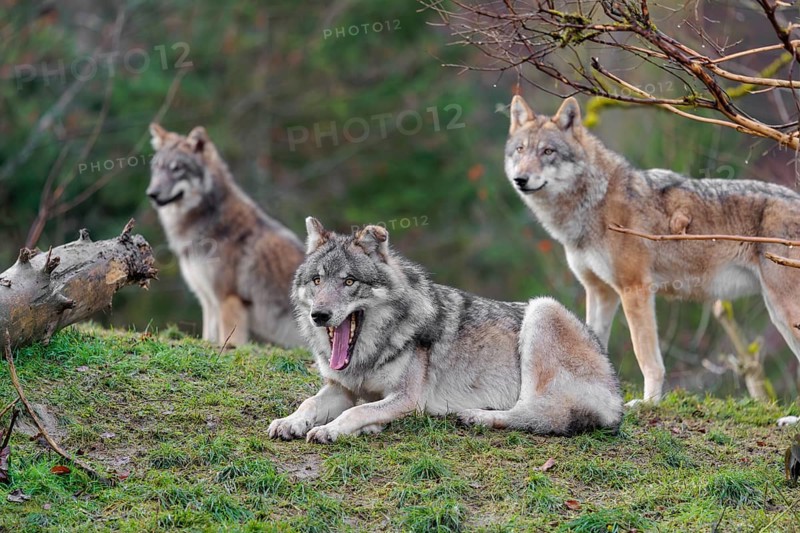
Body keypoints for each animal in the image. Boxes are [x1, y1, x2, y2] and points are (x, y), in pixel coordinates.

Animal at [147, 124, 304, 348]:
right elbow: (209, 338)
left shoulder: (227, 300)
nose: (152, 193)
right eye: (157, 168)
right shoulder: (209, 302)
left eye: (177, 169)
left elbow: (229, 342)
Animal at [267, 217, 623, 443]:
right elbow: (309, 404)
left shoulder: (407, 398)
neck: (366, 357)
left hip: (542, 309)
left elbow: (358, 411)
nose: (319, 315)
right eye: (317, 280)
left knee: (539, 415)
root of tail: (616, 393)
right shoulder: (341, 388)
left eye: (349, 281)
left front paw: (335, 429)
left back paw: (476, 416)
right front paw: (290, 422)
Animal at [504, 94, 800, 418]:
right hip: (778, 314)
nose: (520, 179)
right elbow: (590, 342)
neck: (595, 202)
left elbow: (646, 357)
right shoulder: (600, 292)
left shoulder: (635, 289)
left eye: (548, 151)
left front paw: (649, 403)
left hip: (784, 311)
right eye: (520, 150)